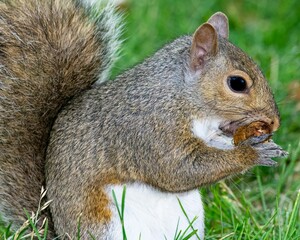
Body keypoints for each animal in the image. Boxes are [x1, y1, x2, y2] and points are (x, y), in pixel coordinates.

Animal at [0, 0, 288, 238]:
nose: (274, 122)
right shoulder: (150, 128)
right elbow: (178, 169)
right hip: (109, 226)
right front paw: (252, 154)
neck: (181, 96)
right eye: (237, 83)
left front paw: (264, 143)